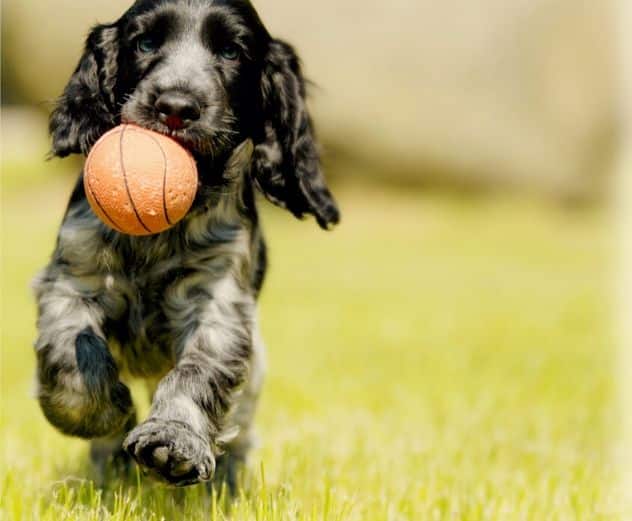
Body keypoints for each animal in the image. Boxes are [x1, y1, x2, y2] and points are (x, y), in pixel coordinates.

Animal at [33, 0, 340, 488]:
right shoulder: (73, 276)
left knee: (240, 425)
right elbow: (69, 348)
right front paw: (103, 415)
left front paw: (173, 442)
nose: (176, 107)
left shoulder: (218, 302)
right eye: (145, 43)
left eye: (231, 52)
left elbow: (198, 371)